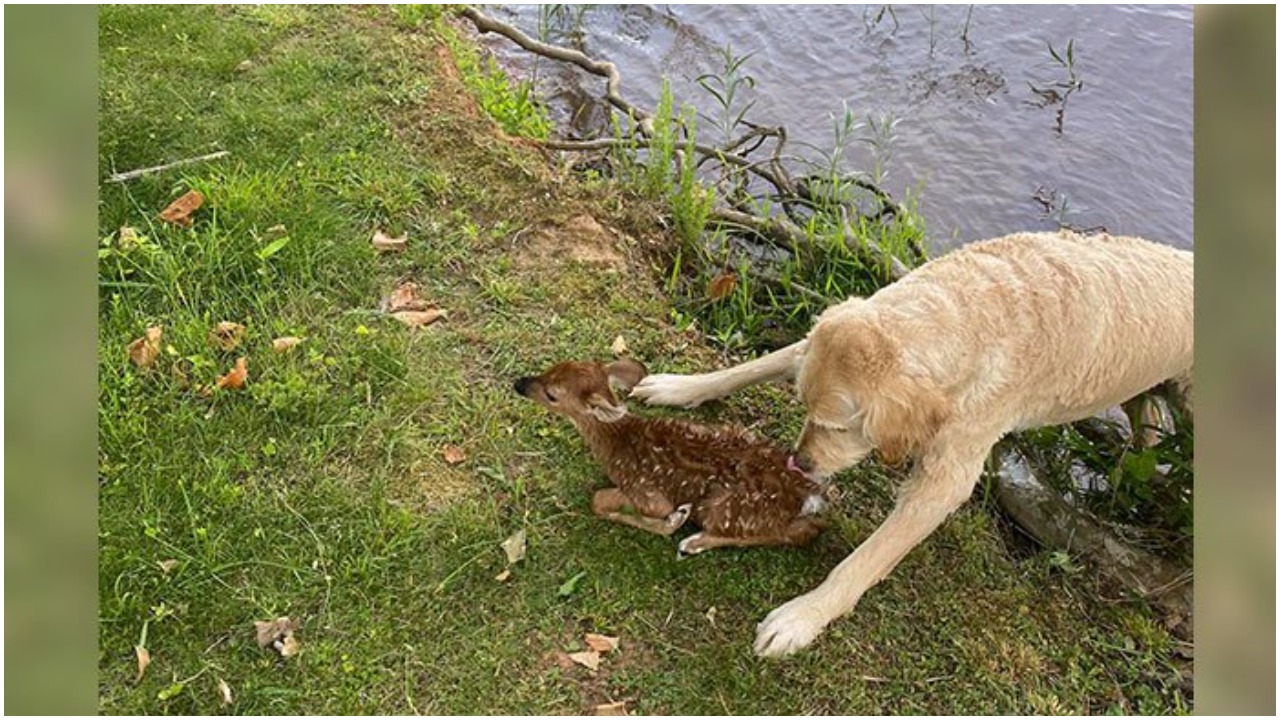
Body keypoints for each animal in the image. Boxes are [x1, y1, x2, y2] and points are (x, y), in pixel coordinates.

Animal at [634, 230, 1192, 655]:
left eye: (840, 427)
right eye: (805, 408)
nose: (799, 463)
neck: (972, 311)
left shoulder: (945, 477)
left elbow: (866, 559)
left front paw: (802, 618)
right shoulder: (817, 340)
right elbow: (754, 365)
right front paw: (679, 387)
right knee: (1147, 418)